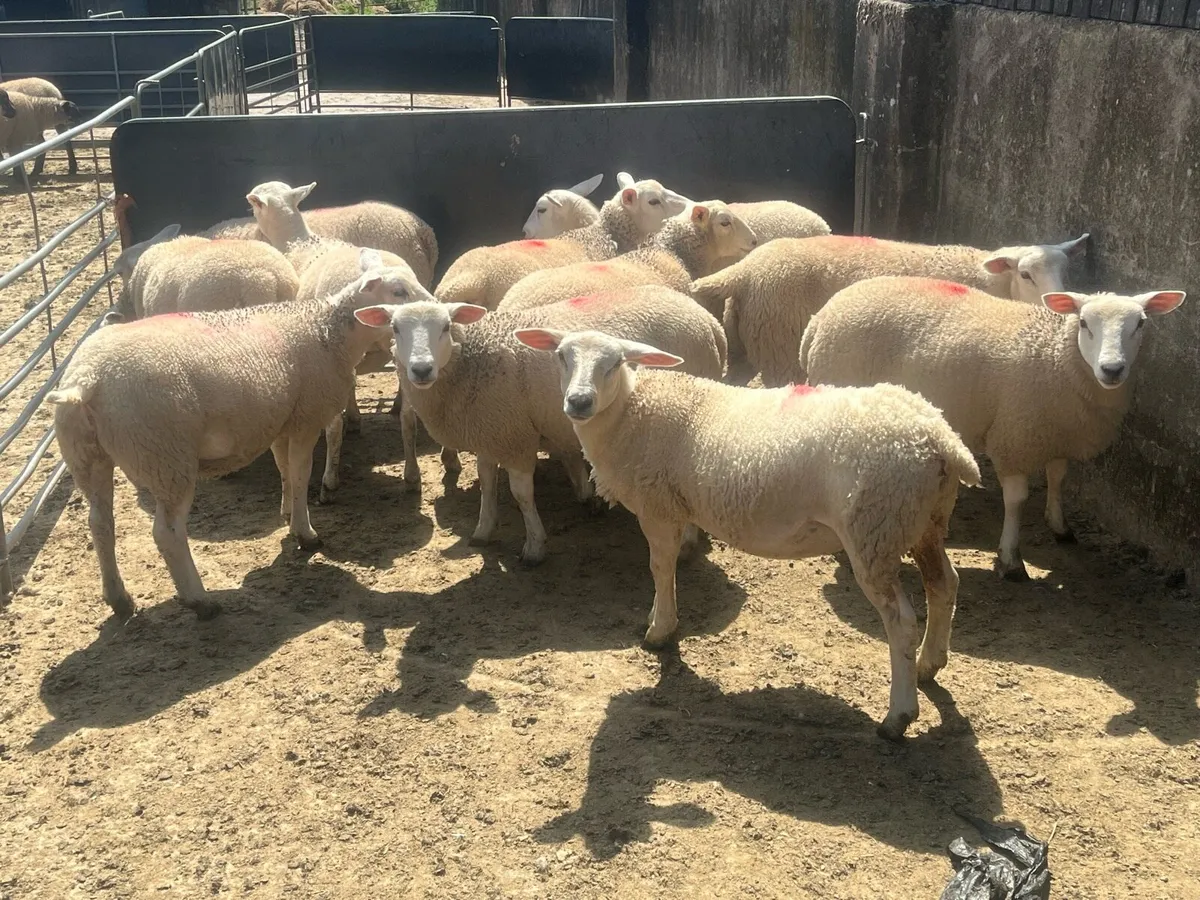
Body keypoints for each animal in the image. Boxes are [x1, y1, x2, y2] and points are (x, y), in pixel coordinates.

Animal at [47, 260, 396, 622]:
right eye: (398, 291)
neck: (328, 331)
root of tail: (87, 380)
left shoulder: (279, 419)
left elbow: (284, 468)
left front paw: (287, 514)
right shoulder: (306, 418)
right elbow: (301, 475)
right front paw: (306, 532)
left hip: (86, 455)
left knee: (100, 523)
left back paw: (119, 599)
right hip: (165, 456)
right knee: (167, 533)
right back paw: (199, 600)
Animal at [353, 285, 728, 566]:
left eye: (445, 327)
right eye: (395, 328)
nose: (421, 369)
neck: (472, 362)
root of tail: (709, 321)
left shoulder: (515, 437)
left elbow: (521, 494)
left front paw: (534, 546)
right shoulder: (491, 429)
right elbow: (487, 483)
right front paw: (483, 530)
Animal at [513, 328, 980, 740]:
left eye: (614, 363)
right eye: (562, 356)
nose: (578, 401)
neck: (632, 413)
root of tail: (940, 439)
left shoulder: (658, 506)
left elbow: (660, 568)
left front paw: (660, 630)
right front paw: (656, 619)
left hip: (875, 526)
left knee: (901, 621)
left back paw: (897, 717)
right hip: (923, 519)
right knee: (944, 584)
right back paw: (929, 665)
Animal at [690, 233, 1090, 386]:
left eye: (1068, 271)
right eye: (1026, 274)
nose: (1060, 308)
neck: (990, 280)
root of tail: (746, 269)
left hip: (746, 340)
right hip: (780, 346)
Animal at [799, 276, 1185, 580]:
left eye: (1141, 324)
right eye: (1084, 323)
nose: (1112, 369)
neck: (1057, 357)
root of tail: (820, 319)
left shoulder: (1057, 433)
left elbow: (1058, 478)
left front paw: (1059, 525)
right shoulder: (1014, 437)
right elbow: (1016, 500)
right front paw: (1011, 560)